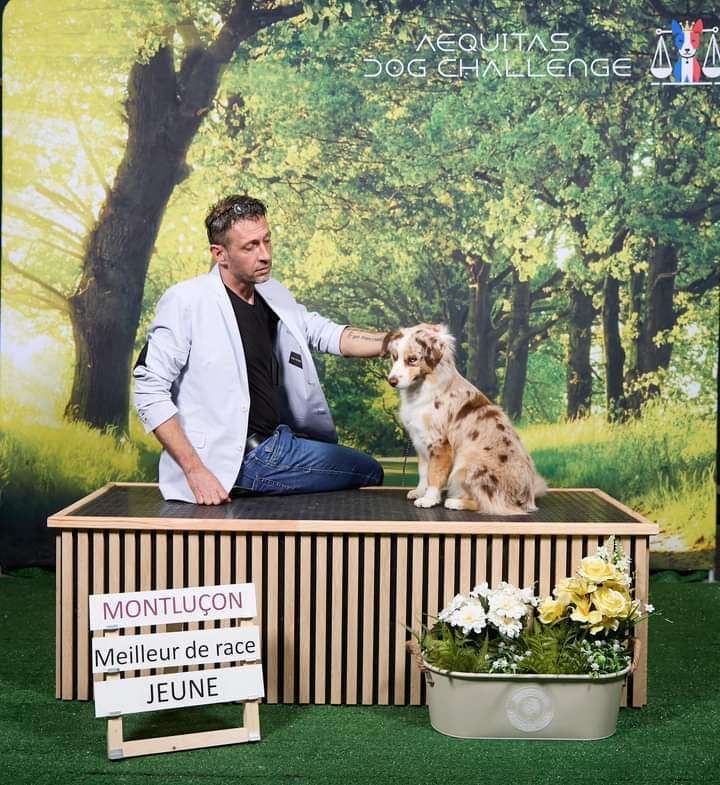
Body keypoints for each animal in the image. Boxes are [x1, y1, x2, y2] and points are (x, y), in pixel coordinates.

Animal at [383, 324, 547, 514]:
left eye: (412, 359)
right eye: (394, 357)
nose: (391, 381)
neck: (422, 389)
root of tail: (528, 498)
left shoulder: (440, 444)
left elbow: (434, 475)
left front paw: (429, 499)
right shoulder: (420, 441)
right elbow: (423, 472)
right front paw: (419, 492)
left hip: (468, 465)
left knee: (491, 504)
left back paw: (455, 502)